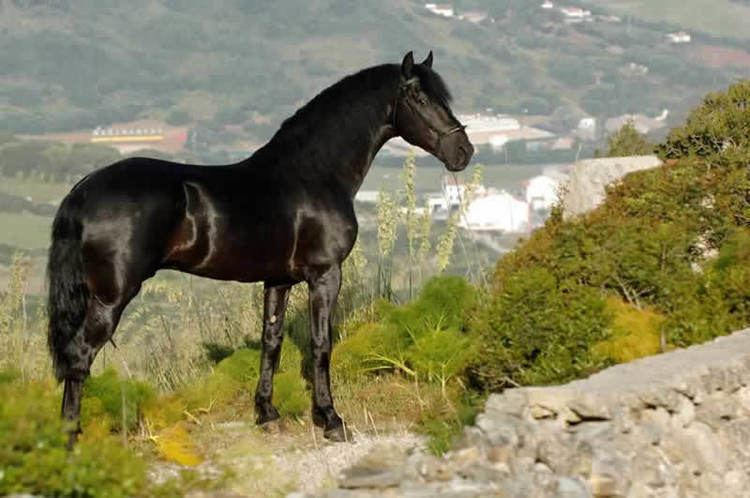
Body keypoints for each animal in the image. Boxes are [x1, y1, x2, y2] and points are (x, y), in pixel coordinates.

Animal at [47, 51, 473, 444]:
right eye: (419, 97)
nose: (464, 152)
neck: (313, 174)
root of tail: (82, 192)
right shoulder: (325, 274)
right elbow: (321, 344)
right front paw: (331, 420)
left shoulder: (277, 280)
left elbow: (272, 342)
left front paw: (267, 414)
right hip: (111, 296)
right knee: (79, 357)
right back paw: (69, 438)